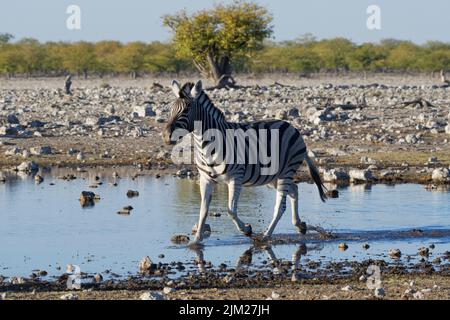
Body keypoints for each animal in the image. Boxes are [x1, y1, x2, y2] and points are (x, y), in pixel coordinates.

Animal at [163, 80, 326, 248]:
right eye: (170, 109)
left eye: (186, 109)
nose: (167, 136)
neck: (206, 145)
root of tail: (293, 128)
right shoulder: (205, 179)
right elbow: (203, 210)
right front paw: (196, 241)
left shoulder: (235, 178)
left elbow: (231, 210)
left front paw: (247, 230)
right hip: (273, 176)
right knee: (294, 189)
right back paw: (300, 225)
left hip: (286, 171)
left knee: (280, 206)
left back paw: (265, 237)